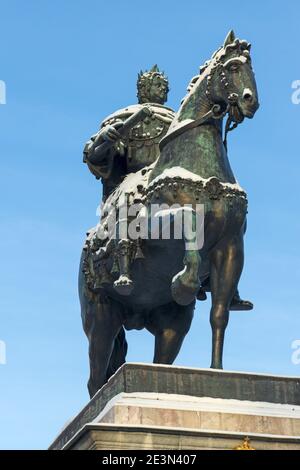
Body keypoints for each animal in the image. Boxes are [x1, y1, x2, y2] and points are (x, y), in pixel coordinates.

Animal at [79, 29, 258, 396]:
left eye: (251, 68)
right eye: (232, 67)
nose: (250, 101)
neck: (199, 172)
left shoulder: (231, 246)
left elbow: (219, 313)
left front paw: (217, 371)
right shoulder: (159, 228)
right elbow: (189, 220)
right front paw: (184, 281)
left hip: (171, 325)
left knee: (161, 359)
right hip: (100, 318)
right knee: (96, 375)